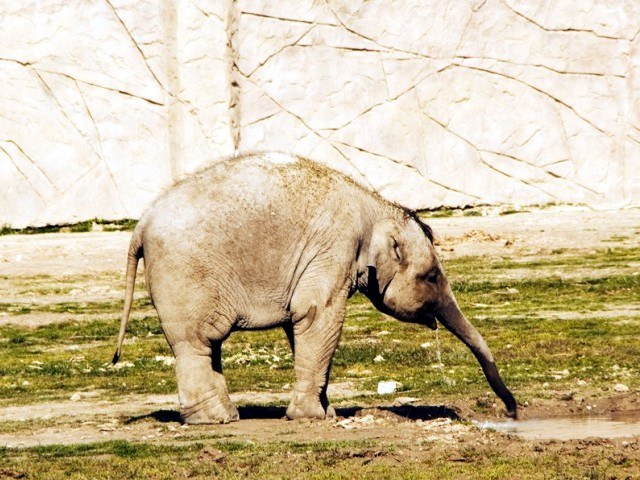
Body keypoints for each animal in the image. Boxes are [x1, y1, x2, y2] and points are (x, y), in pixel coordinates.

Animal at [112, 152, 517, 423]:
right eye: (431, 276)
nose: (512, 411)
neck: (373, 205)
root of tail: (141, 223)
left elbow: (303, 324)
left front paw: (327, 413)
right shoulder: (335, 247)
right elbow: (317, 314)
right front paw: (312, 417)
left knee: (207, 345)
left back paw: (224, 415)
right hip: (184, 276)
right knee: (195, 342)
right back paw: (217, 420)